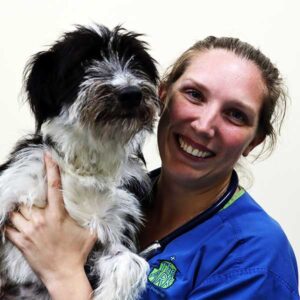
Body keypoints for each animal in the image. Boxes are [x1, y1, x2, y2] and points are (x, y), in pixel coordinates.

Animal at [0, 24, 161, 298]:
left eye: (136, 61)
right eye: (85, 61)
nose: (131, 93)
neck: (88, 162)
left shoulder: (115, 228)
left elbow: (131, 263)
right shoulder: (14, 185)